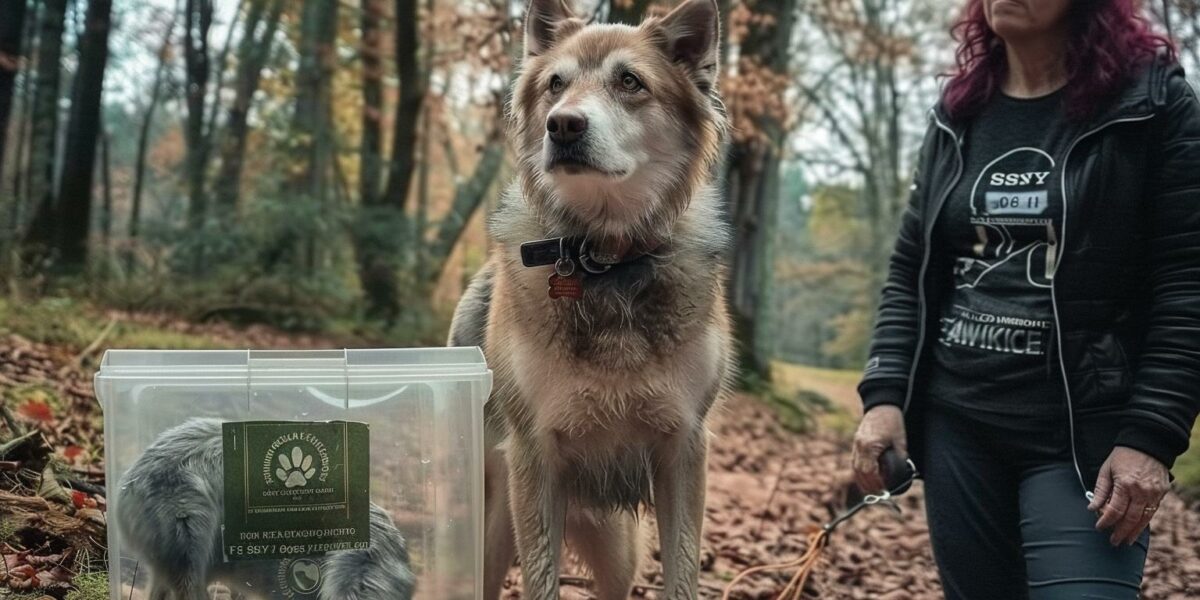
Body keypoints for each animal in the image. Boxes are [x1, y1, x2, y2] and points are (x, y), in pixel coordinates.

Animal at [448, 2, 729, 597]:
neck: (605, 260)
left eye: (630, 82)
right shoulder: (534, 456)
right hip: (495, 525)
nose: (562, 125)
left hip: (618, 549)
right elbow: (541, 579)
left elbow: (683, 573)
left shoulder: (685, 450)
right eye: (556, 83)